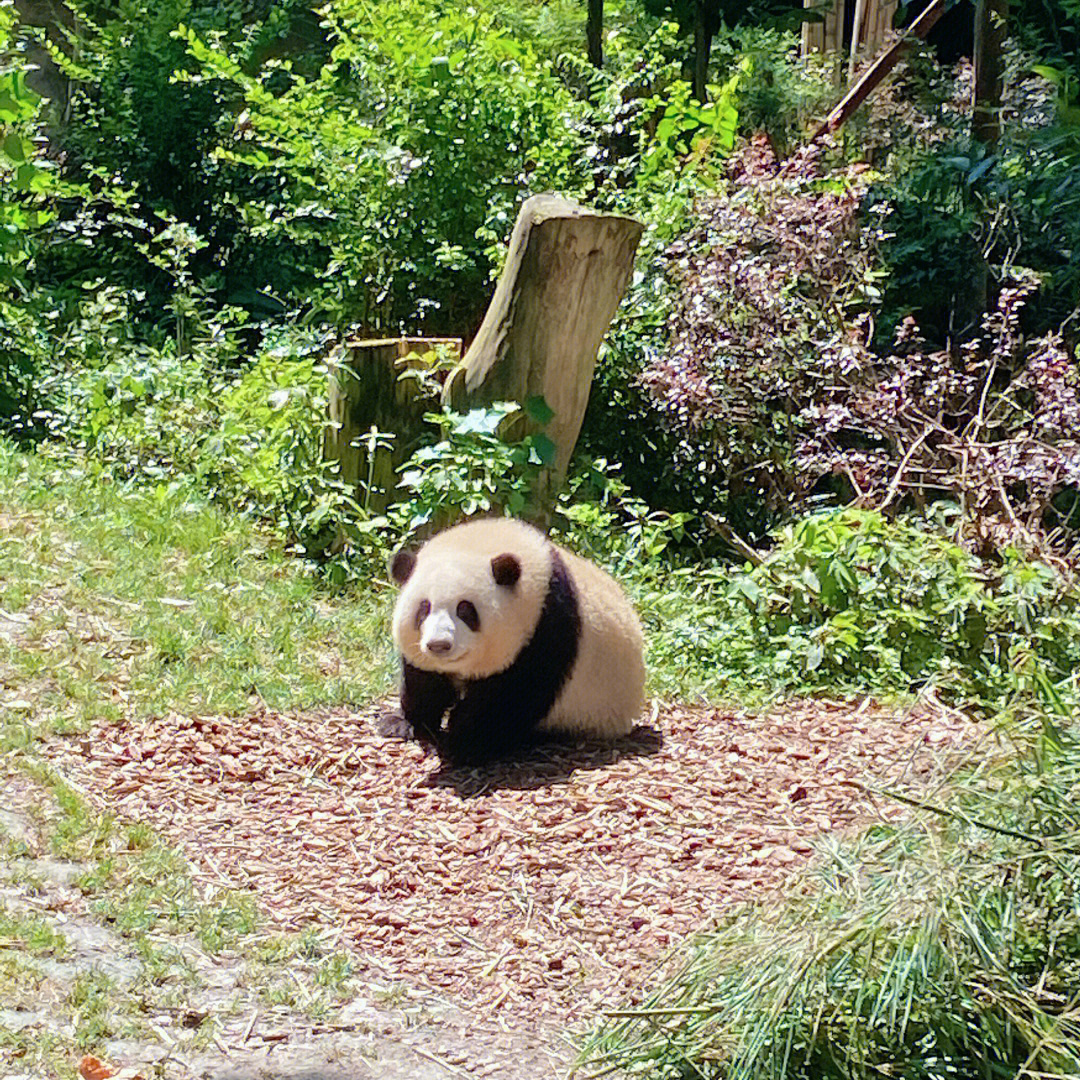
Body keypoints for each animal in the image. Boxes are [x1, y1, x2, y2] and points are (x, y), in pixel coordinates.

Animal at [388, 516, 639, 764]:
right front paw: (405, 725)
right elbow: (425, 681)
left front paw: (465, 740)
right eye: (424, 609)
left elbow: (514, 696)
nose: (439, 645)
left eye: (465, 610)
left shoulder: (548, 628)